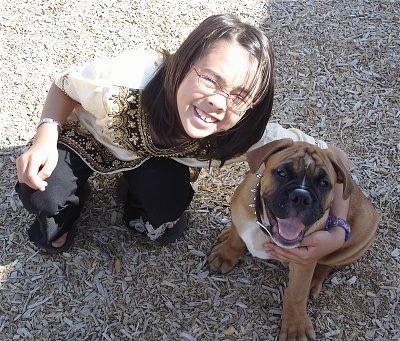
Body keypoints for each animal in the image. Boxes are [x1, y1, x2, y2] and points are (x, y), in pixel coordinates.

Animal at [208, 138, 380, 340]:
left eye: (324, 183)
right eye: (282, 173)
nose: (301, 196)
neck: (266, 228)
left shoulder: (304, 260)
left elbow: (297, 294)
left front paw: (295, 327)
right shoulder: (240, 214)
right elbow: (235, 238)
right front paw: (225, 255)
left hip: (359, 237)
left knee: (327, 262)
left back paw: (315, 280)